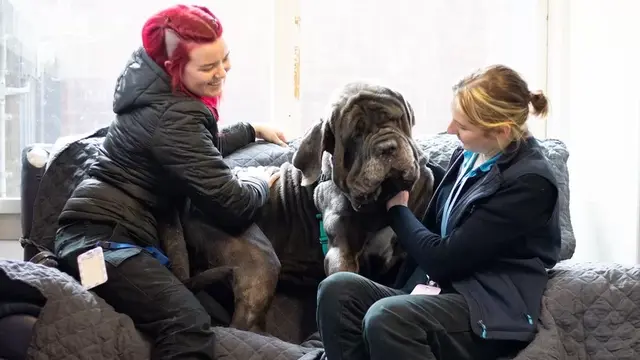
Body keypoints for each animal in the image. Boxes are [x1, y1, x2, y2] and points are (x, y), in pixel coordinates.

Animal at [162, 81, 438, 332]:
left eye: (397, 120)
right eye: (356, 135)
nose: (387, 147)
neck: (381, 203)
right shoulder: (342, 253)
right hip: (259, 257)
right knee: (242, 324)